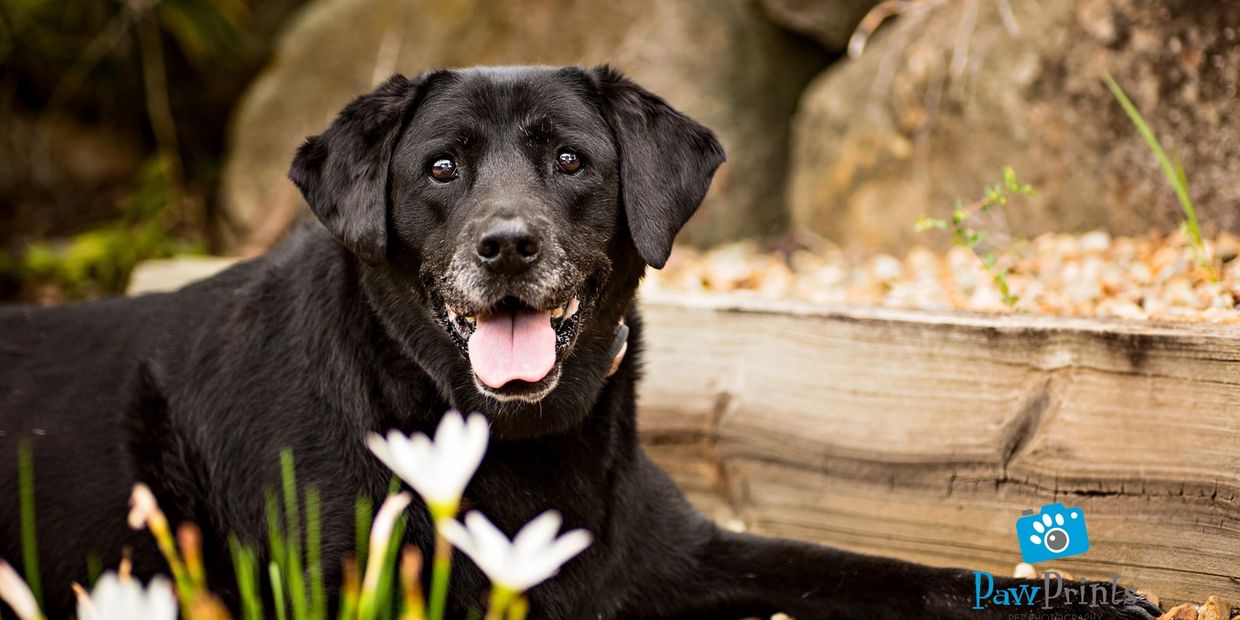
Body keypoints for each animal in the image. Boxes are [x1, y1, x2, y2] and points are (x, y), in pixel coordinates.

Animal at [4, 65, 1155, 617]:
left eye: (569, 159)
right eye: (440, 168)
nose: (509, 245)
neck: (516, 442)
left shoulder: (690, 552)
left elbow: (883, 569)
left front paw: (1083, 599)